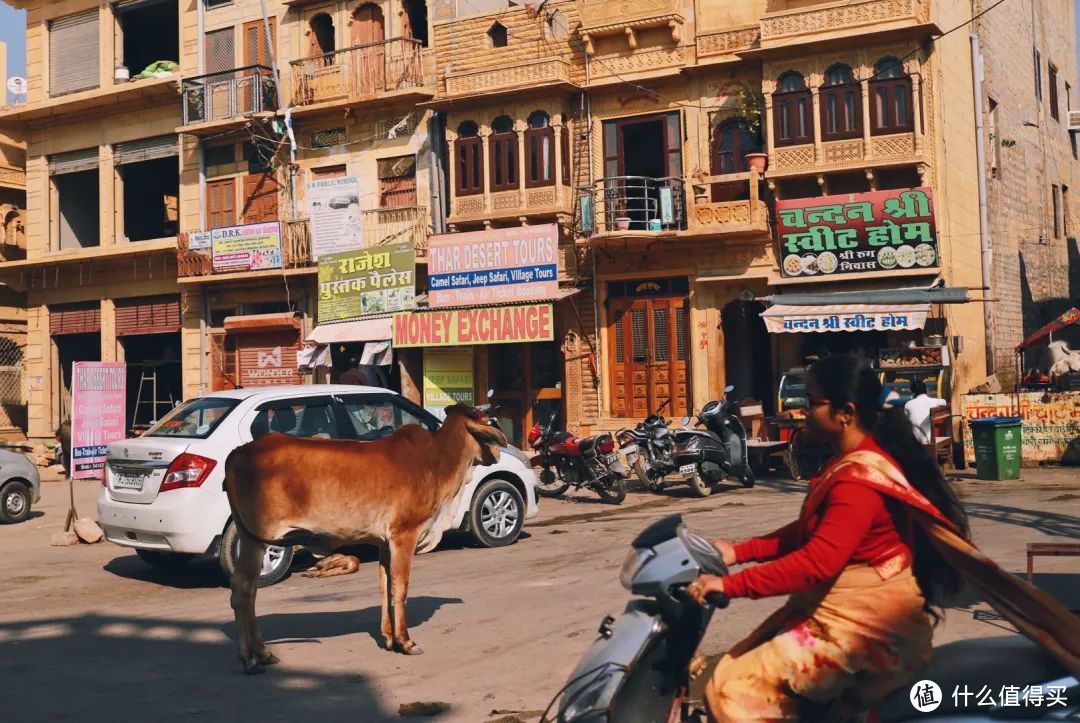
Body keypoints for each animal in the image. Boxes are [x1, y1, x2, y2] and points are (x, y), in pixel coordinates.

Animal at [222, 404, 505, 674]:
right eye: (488, 419)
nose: (501, 452)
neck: (436, 461)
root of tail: (239, 452)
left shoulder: (384, 543)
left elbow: (385, 586)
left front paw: (389, 638)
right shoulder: (404, 535)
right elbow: (400, 588)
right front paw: (406, 641)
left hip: (252, 539)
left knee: (250, 591)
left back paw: (263, 653)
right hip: (256, 540)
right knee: (243, 590)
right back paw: (251, 658)